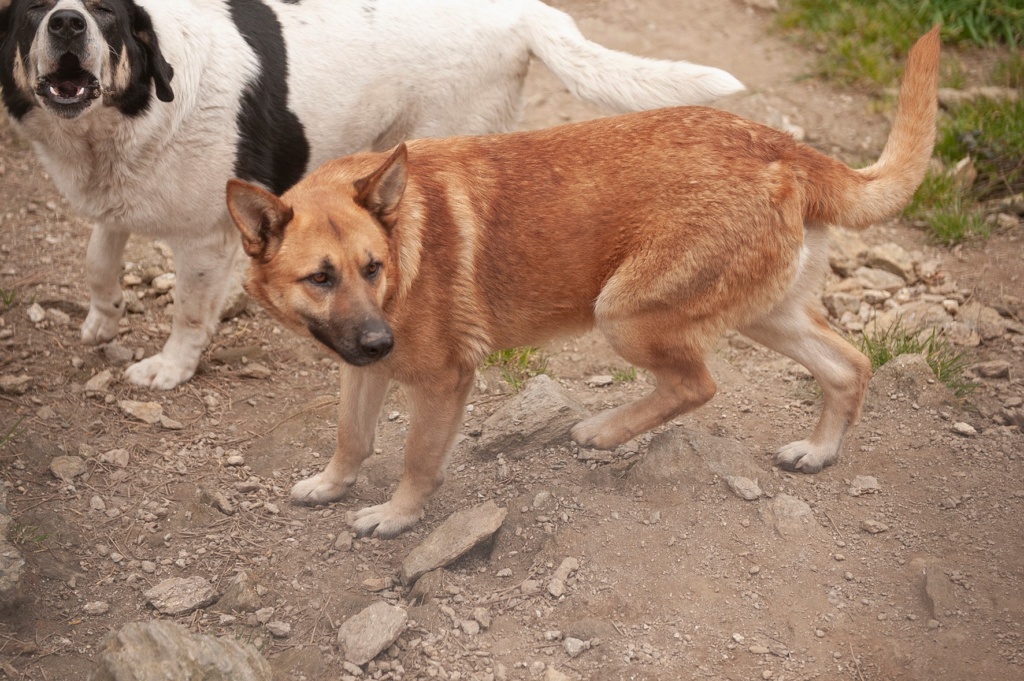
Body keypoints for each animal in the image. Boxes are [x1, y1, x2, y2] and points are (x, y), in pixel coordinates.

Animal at [0, 0, 741, 387]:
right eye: (34, 8)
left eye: (105, 14)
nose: (67, 20)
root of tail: (519, 10)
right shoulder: (117, 203)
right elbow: (99, 256)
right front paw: (102, 320)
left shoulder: (205, 235)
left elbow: (185, 311)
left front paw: (170, 366)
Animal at [228, 27, 937, 536]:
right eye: (321, 277)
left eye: (372, 267)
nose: (380, 341)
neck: (405, 246)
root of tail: (782, 146)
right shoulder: (361, 369)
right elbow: (352, 436)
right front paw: (331, 485)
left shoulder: (444, 382)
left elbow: (417, 459)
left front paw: (398, 517)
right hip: (768, 312)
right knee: (848, 365)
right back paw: (818, 452)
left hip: (623, 313)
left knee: (697, 384)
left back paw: (603, 430)